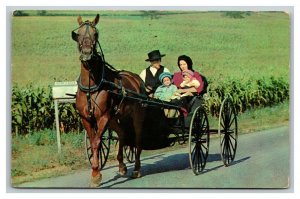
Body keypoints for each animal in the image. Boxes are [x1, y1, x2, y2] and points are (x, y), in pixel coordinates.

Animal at [72, 13, 148, 187]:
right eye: (78, 34)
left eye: (95, 34)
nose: (87, 52)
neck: (92, 86)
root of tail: (137, 79)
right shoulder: (86, 118)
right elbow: (94, 141)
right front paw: (96, 172)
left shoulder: (103, 116)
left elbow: (96, 142)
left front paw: (95, 174)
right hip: (116, 118)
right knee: (122, 134)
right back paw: (121, 165)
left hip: (136, 116)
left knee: (138, 138)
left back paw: (136, 169)